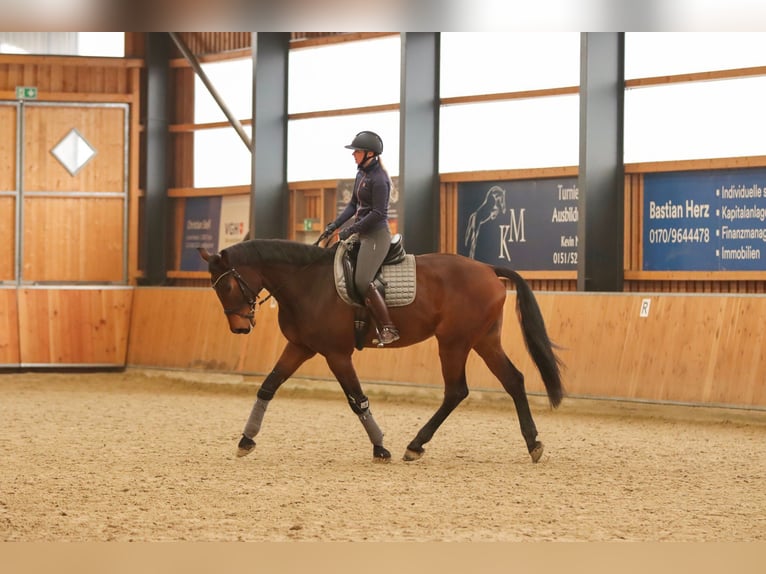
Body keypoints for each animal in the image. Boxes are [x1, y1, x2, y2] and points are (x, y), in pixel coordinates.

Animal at [201, 237, 568, 464]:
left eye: (229, 284)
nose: (240, 327)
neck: (307, 283)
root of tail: (489, 269)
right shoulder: (301, 347)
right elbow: (268, 387)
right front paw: (246, 441)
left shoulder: (337, 354)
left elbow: (357, 400)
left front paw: (380, 447)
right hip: (483, 340)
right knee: (513, 380)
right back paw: (533, 443)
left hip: (454, 342)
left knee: (456, 390)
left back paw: (415, 446)